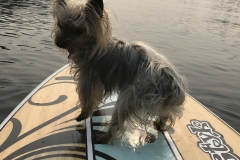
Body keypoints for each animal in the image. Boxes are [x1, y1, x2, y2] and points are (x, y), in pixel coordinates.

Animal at [51, 0, 188, 144]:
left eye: (78, 31)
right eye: (60, 25)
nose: (58, 43)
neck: (90, 46)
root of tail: (172, 84)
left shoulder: (89, 77)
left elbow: (87, 98)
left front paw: (83, 114)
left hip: (132, 95)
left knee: (118, 121)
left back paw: (103, 137)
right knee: (164, 114)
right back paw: (160, 124)